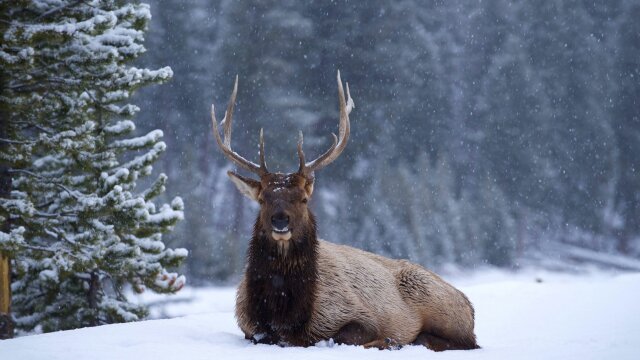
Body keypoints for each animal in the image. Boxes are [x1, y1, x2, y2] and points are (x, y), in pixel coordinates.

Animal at [211, 71, 480, 350]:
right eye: (263, 199)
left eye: (303, 198)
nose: (280, 221)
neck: (284, 314)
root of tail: (469, 306)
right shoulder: (248, 325)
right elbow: (259, 335)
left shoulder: (353, 312)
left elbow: (344, 336)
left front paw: (388, 340)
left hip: (439, 306)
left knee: (459, 341)